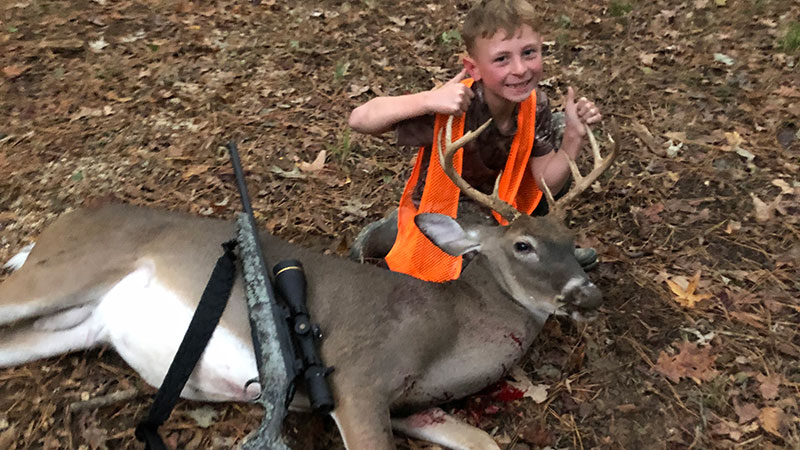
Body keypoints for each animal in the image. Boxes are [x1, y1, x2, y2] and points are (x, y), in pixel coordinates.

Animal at [0, 117, 618, 450]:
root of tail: (62, 223)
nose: (587, 294)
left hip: (82, 323)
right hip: (64, 271)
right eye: (523, 246)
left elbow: (482, 439)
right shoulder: (359, 377)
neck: (449, 328)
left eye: (573, 241)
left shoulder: (412, 405)